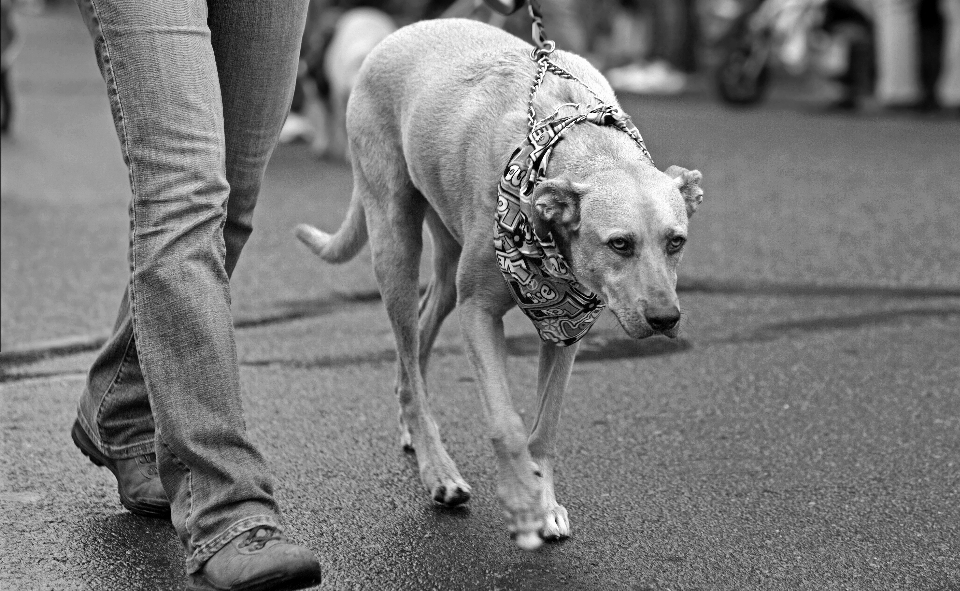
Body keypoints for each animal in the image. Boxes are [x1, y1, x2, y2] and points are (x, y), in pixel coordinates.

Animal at [294, 19, 704, 556]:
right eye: (620, 244)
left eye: (676, 242)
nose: (664, 320)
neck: (574, 143)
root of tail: (398, 32)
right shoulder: (479, 314)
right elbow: (506, 424)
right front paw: (523, 501)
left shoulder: (568, 328)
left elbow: (545, 427)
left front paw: (545, 502)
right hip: (394, 245)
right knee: (409, 351)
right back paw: (437, 471)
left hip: (446, 260)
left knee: (418, 344)